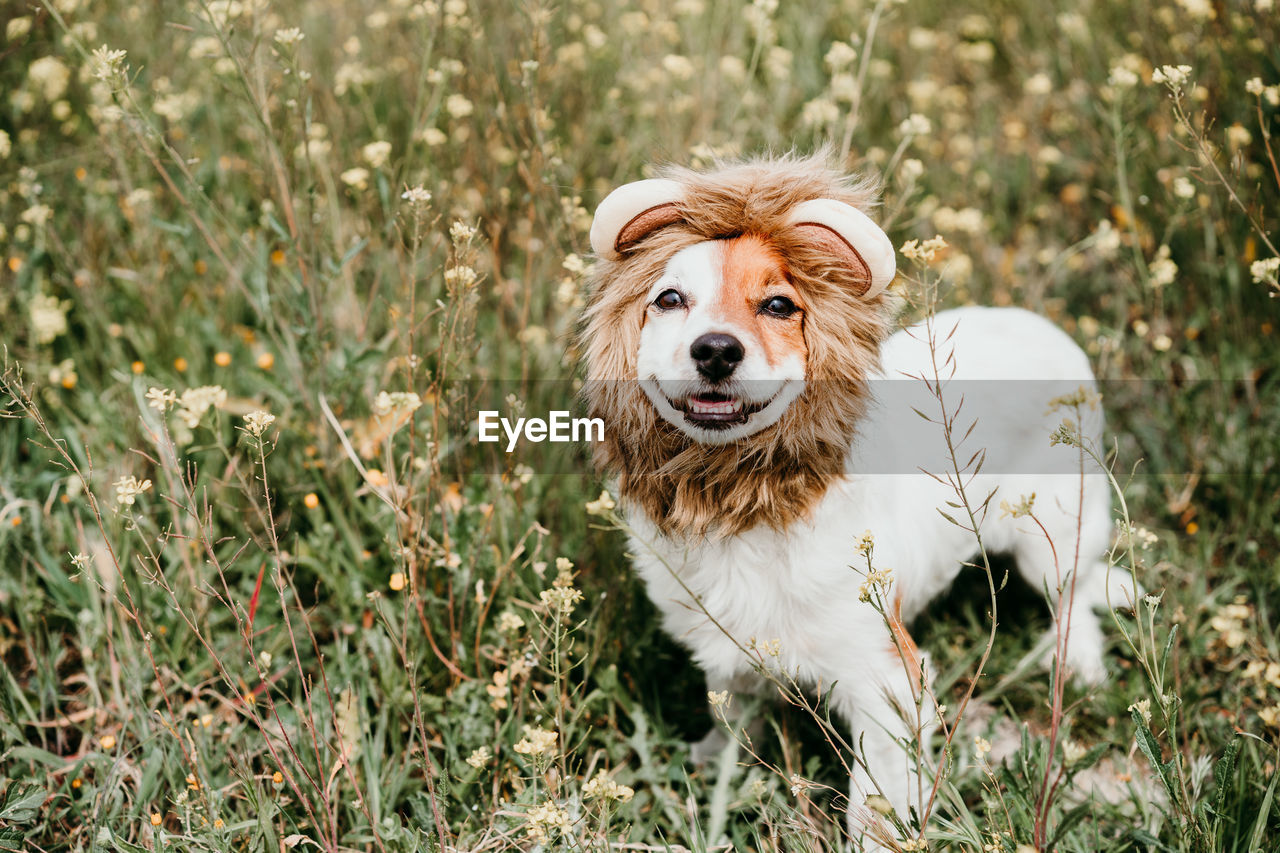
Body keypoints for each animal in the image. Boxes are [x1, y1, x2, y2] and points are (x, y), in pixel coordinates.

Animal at [583, 154, 1141, 845]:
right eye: (669, 299)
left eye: (779, 304)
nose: (715, 350)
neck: (749, 502)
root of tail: (1041, 324)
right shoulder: (725, 645)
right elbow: (732, 711)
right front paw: (716, 762)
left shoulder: (887, 681)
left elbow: (872, 804)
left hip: (1055, 535)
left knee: (1074, 600)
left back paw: (1079, 666)